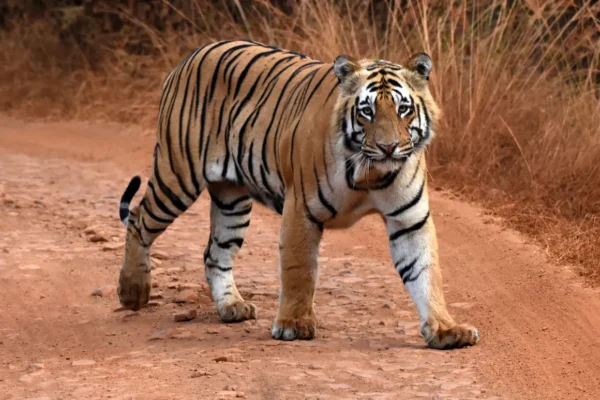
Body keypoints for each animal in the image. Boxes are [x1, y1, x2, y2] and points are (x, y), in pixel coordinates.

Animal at [117, 39, 480, 348]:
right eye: (367, 111)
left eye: (404, 109)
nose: (389, 147)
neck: (371, 172)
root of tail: (189, 56)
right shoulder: (300, 209)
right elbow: (299, 269)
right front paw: (294, 324)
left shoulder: (410, 219)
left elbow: (426, 272)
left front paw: (446, 329)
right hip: (176, 175)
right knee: (138, 219)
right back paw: (133, 291)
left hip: (232, 201)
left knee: (214, 253)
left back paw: (232, 306)